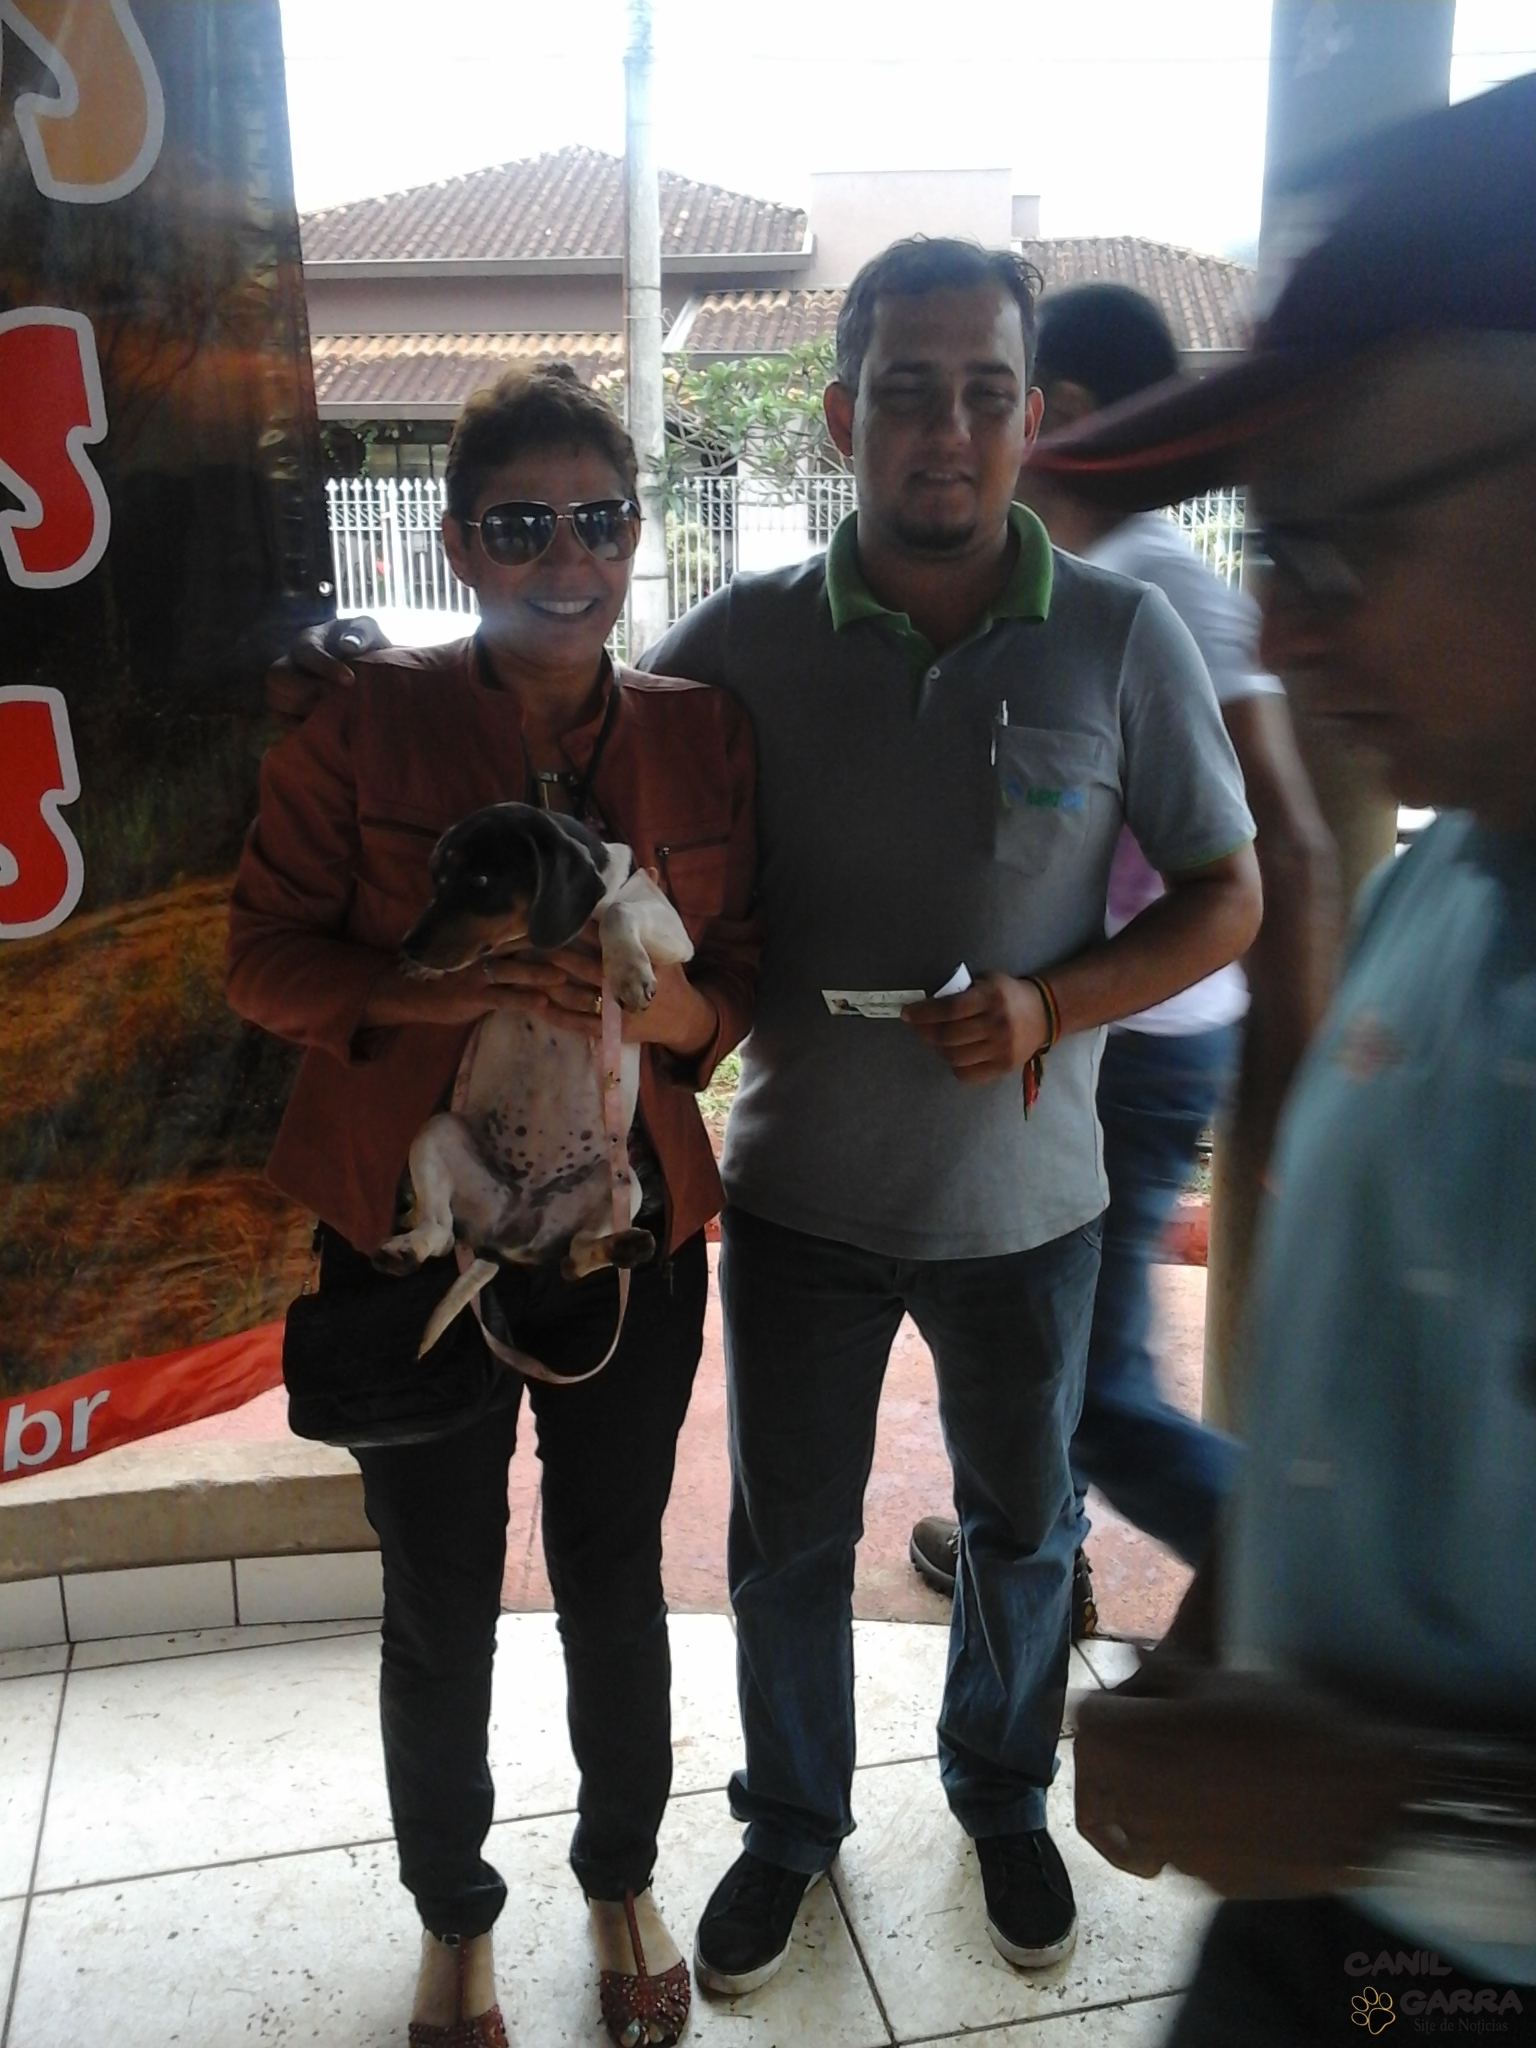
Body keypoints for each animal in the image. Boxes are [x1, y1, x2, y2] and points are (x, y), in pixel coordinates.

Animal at [375, 802, 694, 1349]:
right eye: (437, 879)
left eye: (481, 878)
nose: (409, 948)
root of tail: (507, 1238)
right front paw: (431, 972)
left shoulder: (671, 931)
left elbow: (618, 911)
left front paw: (628, 971)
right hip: (438, 1133)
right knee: (438, 1233)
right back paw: (402, 1250)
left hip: (623, 1182)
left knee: (575, 1257)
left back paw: (625, 1247)